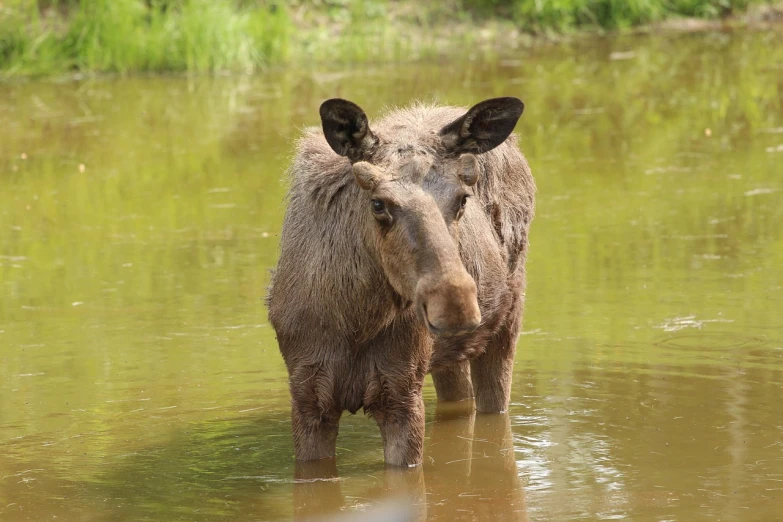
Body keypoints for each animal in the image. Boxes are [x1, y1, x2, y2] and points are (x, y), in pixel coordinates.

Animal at [266, 95, 536, 466]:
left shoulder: (401, 393)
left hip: (506, 325)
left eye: (462, 199)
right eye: (378, 203)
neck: (354, 321)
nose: (455, 304)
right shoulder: (307, 397)